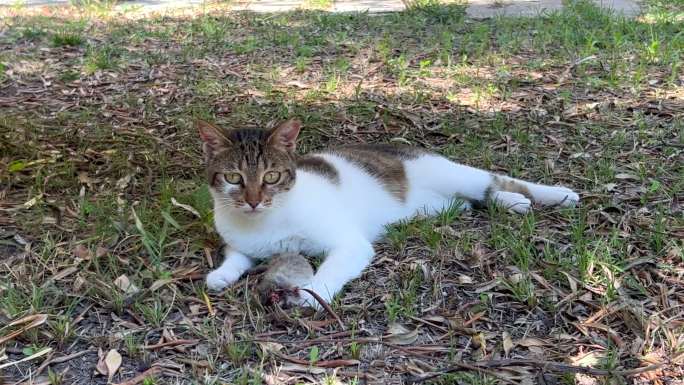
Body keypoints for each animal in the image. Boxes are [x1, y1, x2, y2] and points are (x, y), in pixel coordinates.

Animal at [198, 118, 576, 308]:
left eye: (271, 177)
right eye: (234, 178)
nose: (253, 201)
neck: (263, 221)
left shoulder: (350, 243)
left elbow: (333, 265)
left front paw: (314, 292)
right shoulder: (241, 242)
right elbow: (236, 256)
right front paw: (222, 274)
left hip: (451, 173)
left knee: (494, 180)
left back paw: (556, 195)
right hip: (438, 204)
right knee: (474, 199)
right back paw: (509, 202)